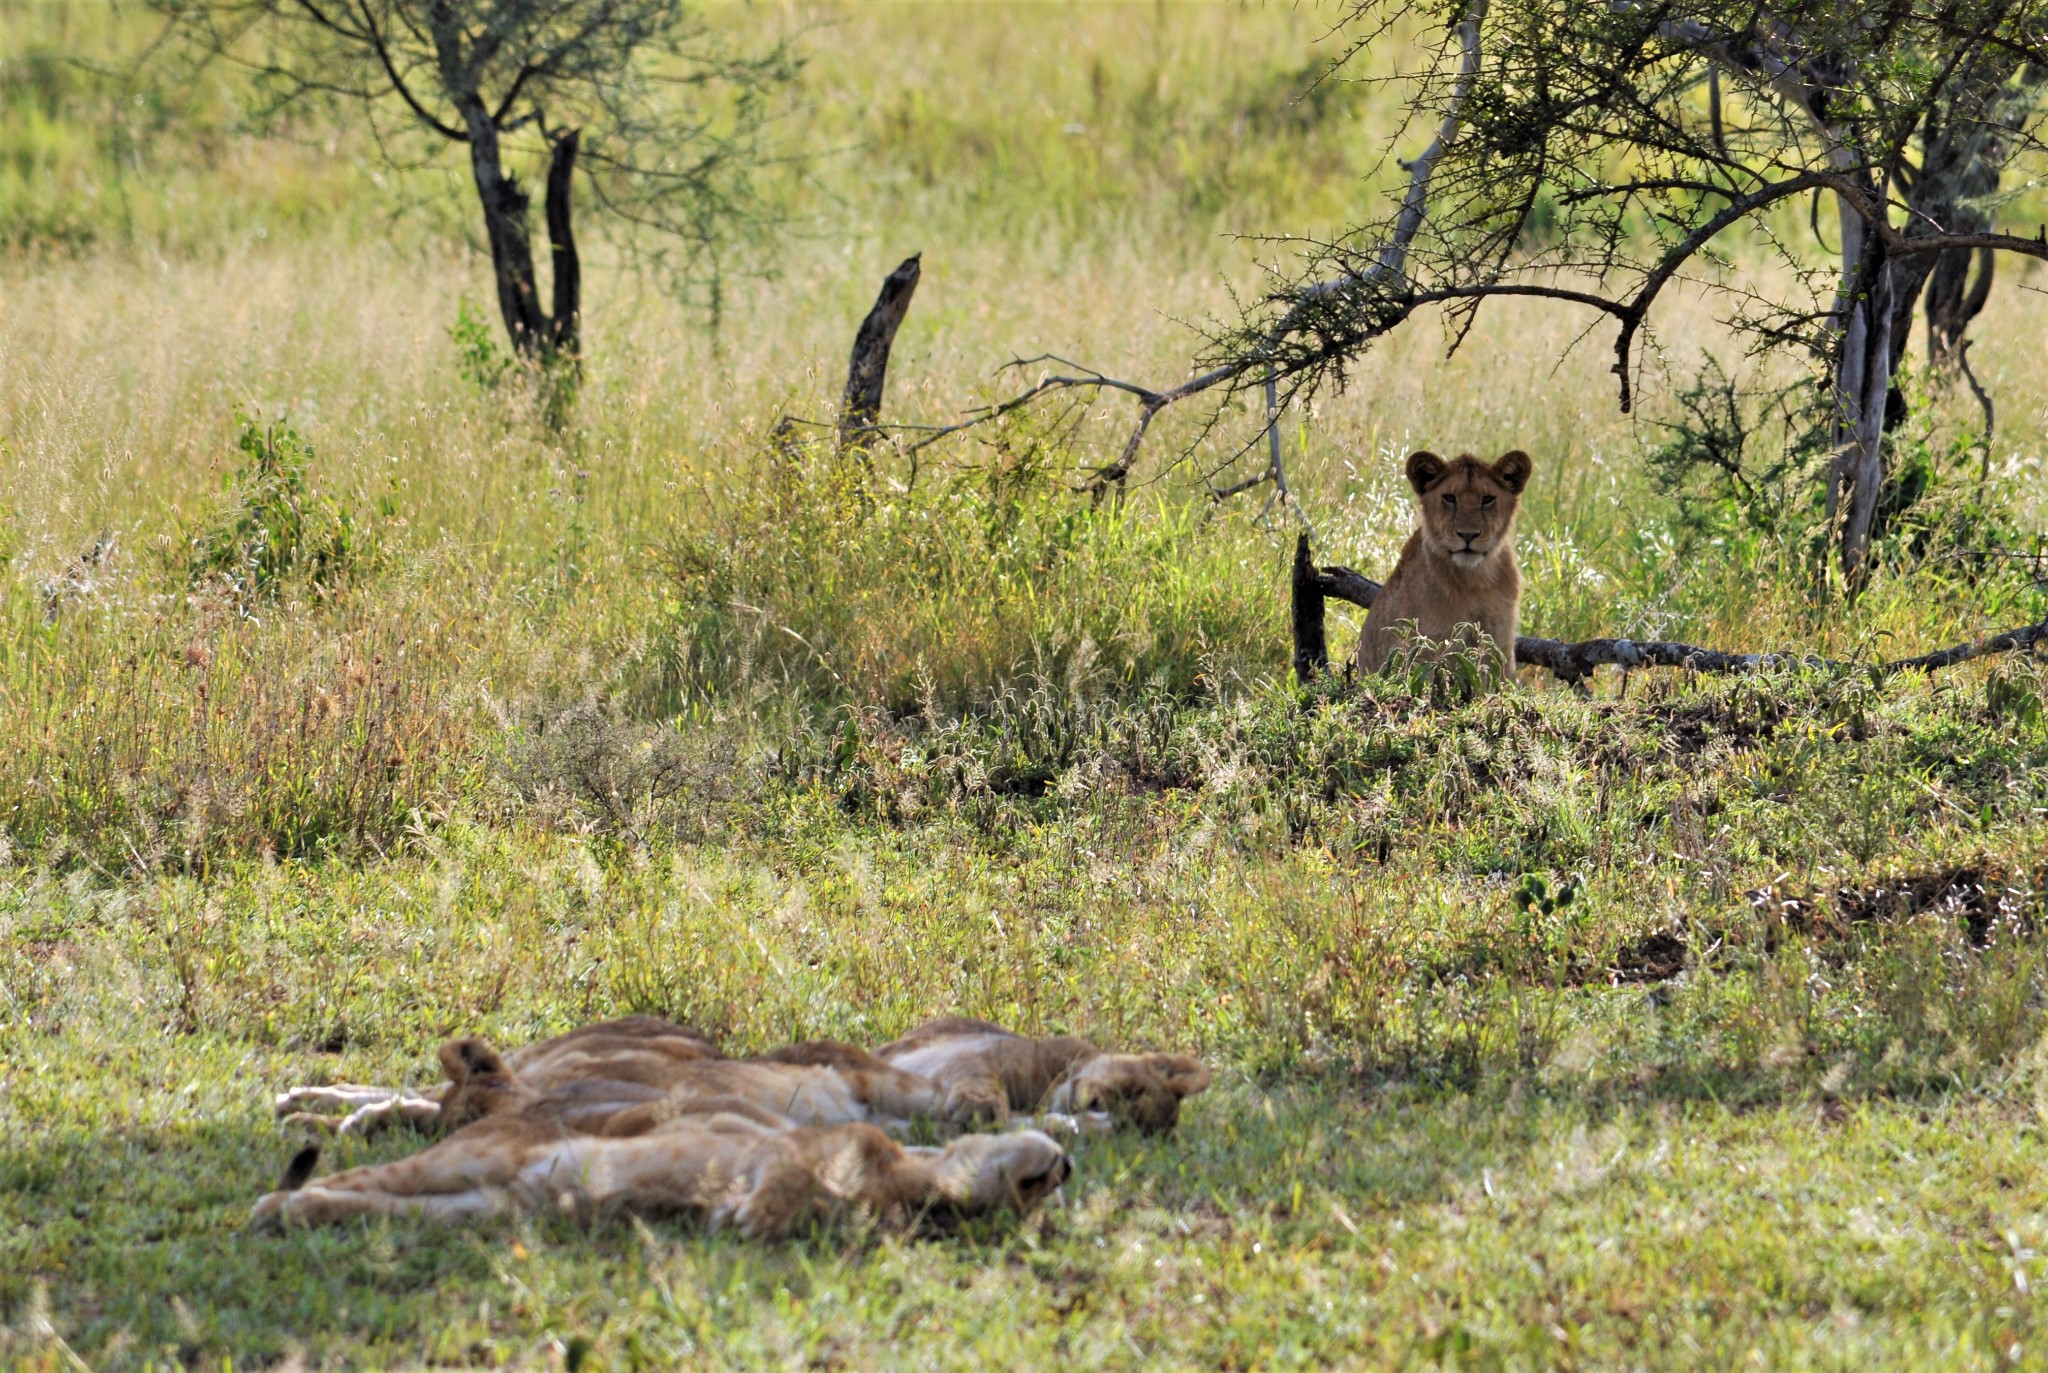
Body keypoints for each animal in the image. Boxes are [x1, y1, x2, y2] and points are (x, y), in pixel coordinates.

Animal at [872, 1016, 1204, 1131]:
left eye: (1124, 1124)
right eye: (1133, 1089)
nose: (1094, 1105)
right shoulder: (971, 1053)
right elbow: (982, 1075)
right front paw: (981, 1105)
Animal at [1351, 450, 1531, 676]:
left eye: (1488, 499)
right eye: (1450, 498)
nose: (1468, 535)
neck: (1476, 580)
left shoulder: (1500, 642)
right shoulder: (1423, 646)